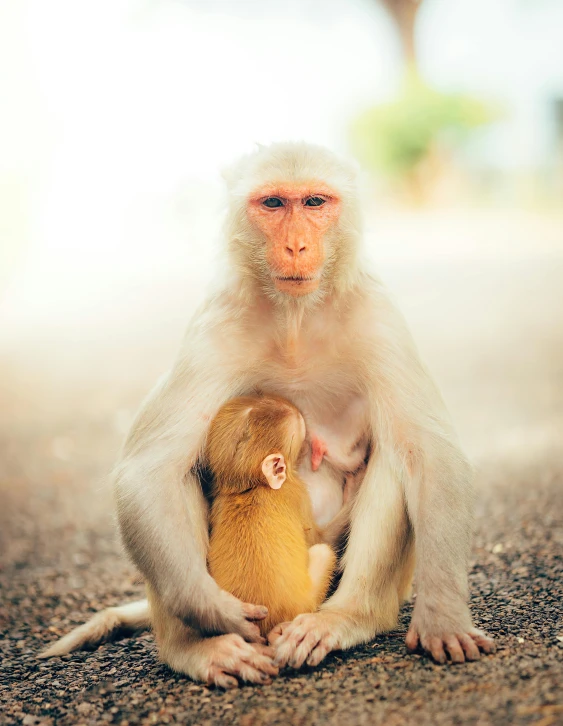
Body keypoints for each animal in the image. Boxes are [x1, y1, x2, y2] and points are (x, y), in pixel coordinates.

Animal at [208, 396, 338, 640]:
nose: (308, 448)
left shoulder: (218, 504)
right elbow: (317, 538)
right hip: (305, 602)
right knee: (322, 551)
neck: (252, 487)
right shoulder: (297, 492)